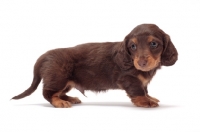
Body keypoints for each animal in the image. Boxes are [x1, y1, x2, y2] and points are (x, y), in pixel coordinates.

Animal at [12, 24, 178, 108]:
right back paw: (59, 102)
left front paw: (149, 97)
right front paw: (145, 101)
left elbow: (145, 89)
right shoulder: (128, 79)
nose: (142, 63)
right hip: (58, 78)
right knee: (48, 93)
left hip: (67, 82)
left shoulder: (141, 81)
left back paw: (70, 98)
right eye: (133, 46)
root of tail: (45, 56)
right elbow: (138, 90)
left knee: (58, 93)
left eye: (154, 44)